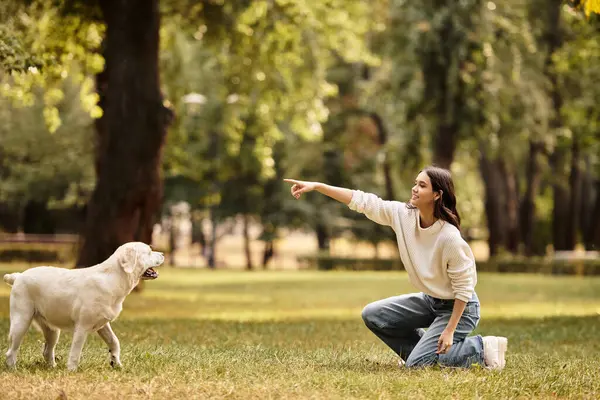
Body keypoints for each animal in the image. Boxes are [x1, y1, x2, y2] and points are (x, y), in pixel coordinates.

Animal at [2, 242, 164, 370]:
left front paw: (116, 363)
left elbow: (114, 341)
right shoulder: (82, 327)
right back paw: (13, 369)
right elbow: (76, 351)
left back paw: (53, 368)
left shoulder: (103, 325)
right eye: (149, 252)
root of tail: (18, 276)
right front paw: (71, 370)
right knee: (11, 352)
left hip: (52, 330)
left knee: (47, 351)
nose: (163, 254)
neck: (113, 278)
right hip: (21, 322)